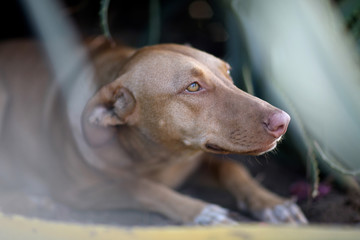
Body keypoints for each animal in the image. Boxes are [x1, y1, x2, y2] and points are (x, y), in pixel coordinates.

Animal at [0, 38, 306, 225]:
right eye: (193, 87)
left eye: (228, 72)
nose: (284, 121)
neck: (156, 155)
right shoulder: (75, 192)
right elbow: (139, 186)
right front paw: (201, 211)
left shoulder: (195, 160)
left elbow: (232, 169)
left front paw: (271, 203)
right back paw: (33, 202)